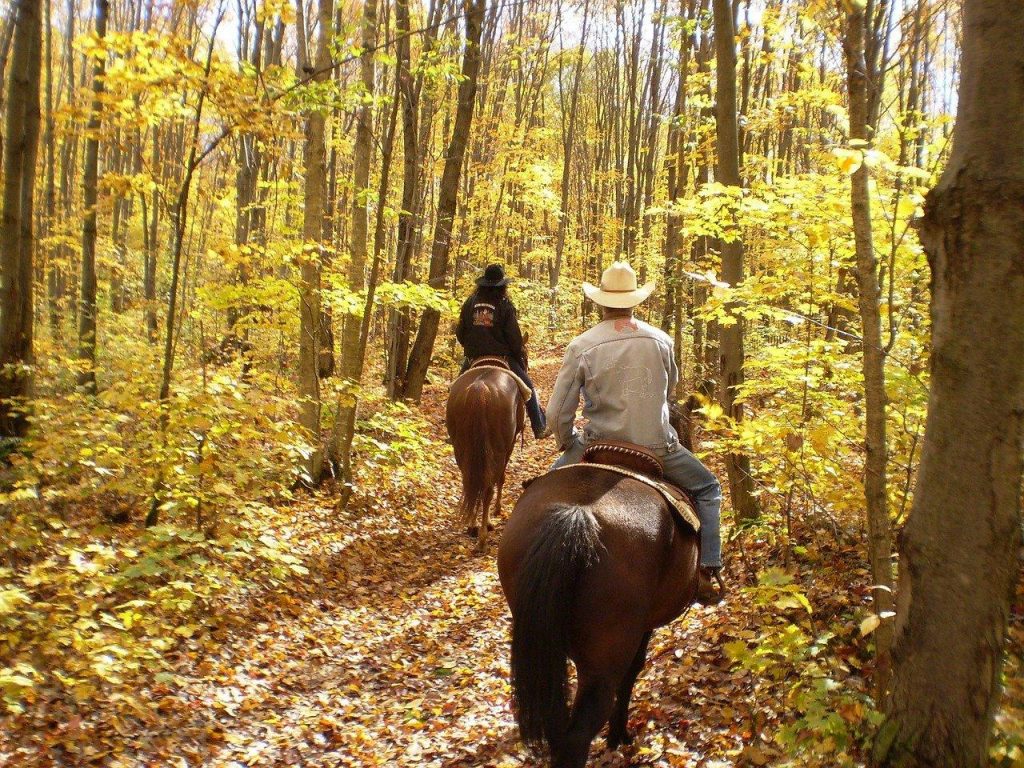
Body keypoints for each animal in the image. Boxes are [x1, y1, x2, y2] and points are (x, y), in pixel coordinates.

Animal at [446, 357, 526, 552]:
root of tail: (479, 388)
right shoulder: (509, 445)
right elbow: (501, 479)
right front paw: (497, 510)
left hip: (462, 449)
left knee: (471, 483)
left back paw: (473, 526)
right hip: (498, 450)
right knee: (488, 488)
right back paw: (483, 535)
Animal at [496, 413, 701, 767]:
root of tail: (576, 514)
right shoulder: (642, 629)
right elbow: (633, 672)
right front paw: (619, 736)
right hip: (603, 661)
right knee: (579, 733)